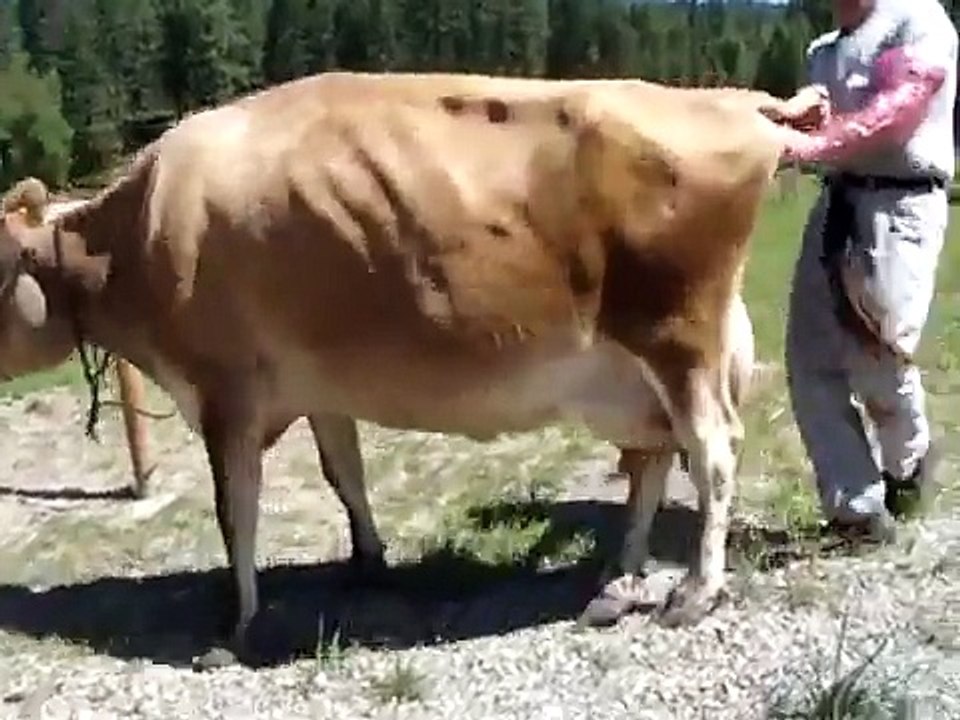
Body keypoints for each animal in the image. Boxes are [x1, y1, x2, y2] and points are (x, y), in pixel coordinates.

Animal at [0, 71, 812, 665]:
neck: (134, 240)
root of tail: (734, 99)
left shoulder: (225, 388)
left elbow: (238, 511)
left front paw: (238, 625)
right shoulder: (317, 382)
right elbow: (344, 474)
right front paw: (367, 564)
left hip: (678, 335)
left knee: (712, 449)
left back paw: (696, 590)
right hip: (631, 368)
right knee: (653, 458)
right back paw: (619, 579)